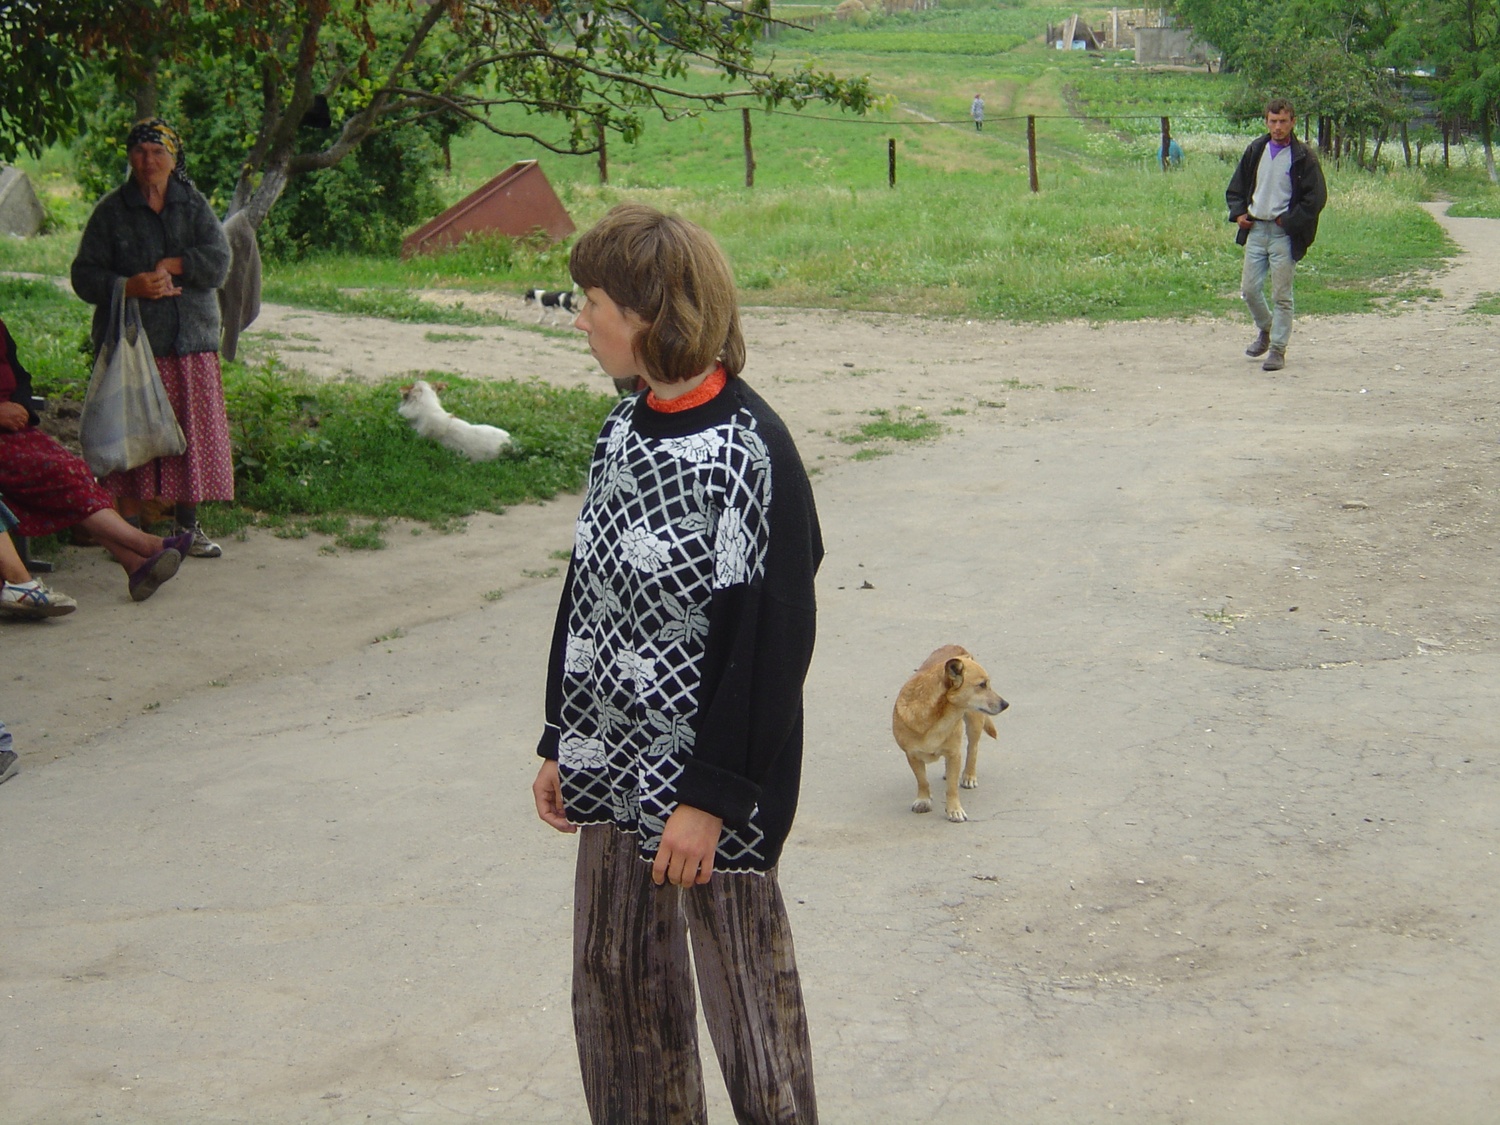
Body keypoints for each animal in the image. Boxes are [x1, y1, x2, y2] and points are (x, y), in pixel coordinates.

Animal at [888, 648, 1008, 822]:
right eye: (982, 685)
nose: (1006, 704)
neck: (938, 717)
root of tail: (957, 646)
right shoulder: (912, 755)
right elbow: (922, 780)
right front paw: (923, 799)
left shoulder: (954, 753)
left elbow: (951, 788)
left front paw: (954, 810)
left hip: (974, 723)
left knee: (972, 749)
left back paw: (969, 776)